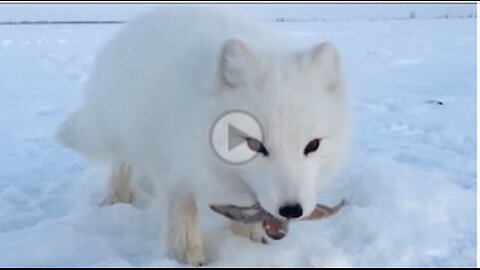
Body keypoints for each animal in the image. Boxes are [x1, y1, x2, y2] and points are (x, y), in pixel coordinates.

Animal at [56, 6, 348, 266]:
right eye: (254, 144)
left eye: (312, 145)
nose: (292, 210)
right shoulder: (175, 161)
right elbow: (182, 214)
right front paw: (187, 258)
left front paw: (247, 240)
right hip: (122, 128)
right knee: (122, 159)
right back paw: (118, 196)